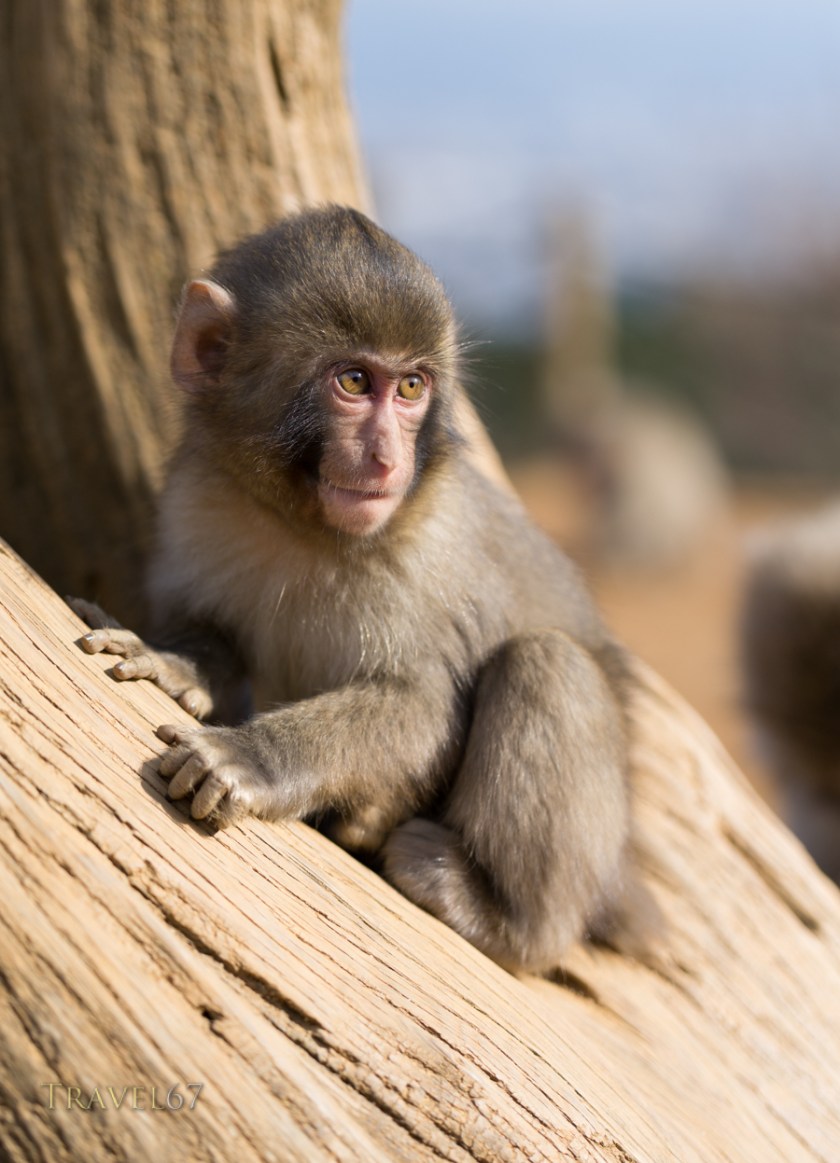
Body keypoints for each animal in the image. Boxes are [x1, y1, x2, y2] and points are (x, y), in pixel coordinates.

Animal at [74, 205, 631, 974]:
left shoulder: (423, 558)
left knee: (546, 663)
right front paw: (172, 662)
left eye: (411, 388)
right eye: (355, 381)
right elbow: (213, 634)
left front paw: (252, 757)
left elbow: (424, 709)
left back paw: (501, 918)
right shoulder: (198, 501)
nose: (388, 457)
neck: (304, 528)